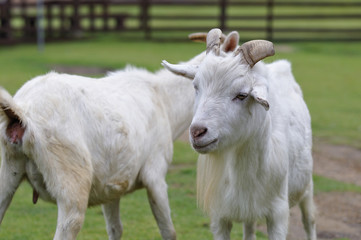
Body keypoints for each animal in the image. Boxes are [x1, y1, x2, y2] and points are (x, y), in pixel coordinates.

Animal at [162, 28, 316, 240]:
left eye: (242, 95)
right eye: (196, 87)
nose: (197, 132)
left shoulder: (278, 213)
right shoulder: (220, 214)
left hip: (307, 185)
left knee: (309, 220)